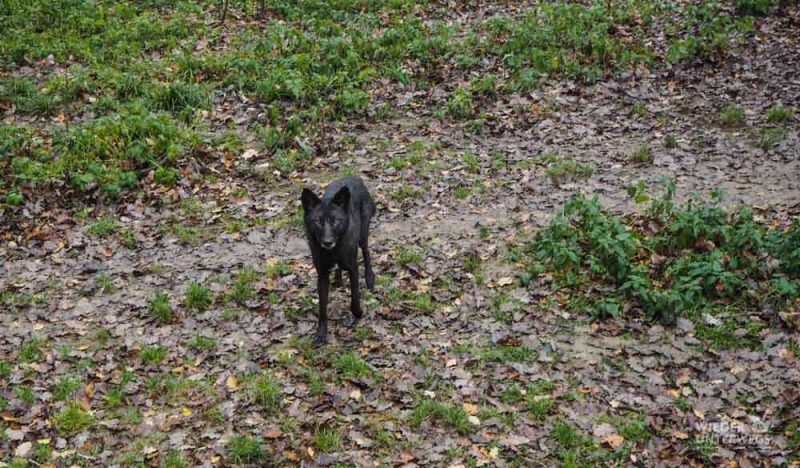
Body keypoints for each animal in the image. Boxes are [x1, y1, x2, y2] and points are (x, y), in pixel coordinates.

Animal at [302, 176, 376, 344]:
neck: (333, 251)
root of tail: (355, 177)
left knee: (366, 251)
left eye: (335, 220)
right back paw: (338, 279)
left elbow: (354, 298)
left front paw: (358, 313)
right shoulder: (322, 275)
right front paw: (321, 334)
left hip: (363, 234)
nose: (327, 242)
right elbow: (322, 308)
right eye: (318, 221)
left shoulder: (353, 268)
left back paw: (369, 277)